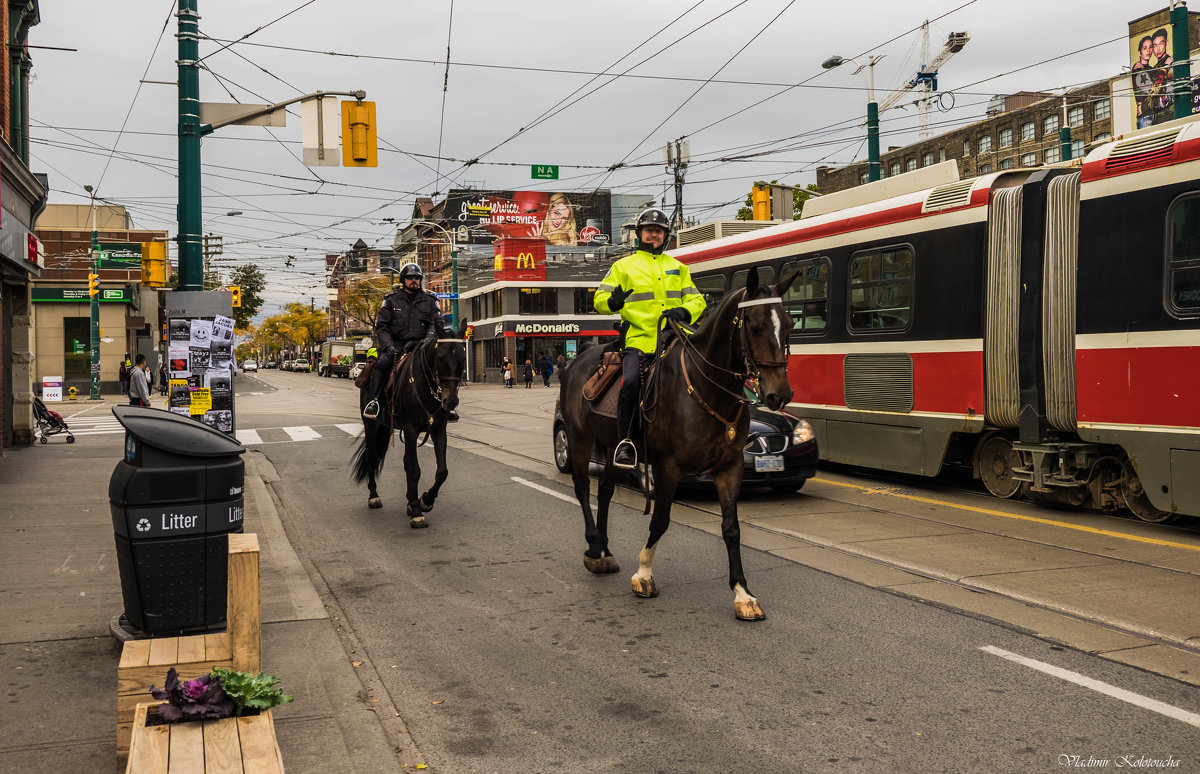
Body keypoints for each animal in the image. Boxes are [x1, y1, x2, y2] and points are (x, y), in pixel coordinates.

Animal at [350, 324, 465, 528]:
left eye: (462, 357)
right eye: (441, 357)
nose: (451, 401)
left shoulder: (438, 430)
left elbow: (442, 471)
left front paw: (425, 500)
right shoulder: (411, 429)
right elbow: (414, 470)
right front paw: (418, 512)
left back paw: (410, 501)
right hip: (372, 425)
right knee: (372, 457)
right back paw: (374, 496)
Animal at [559, 268, 796, 619]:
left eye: (789, 324)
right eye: (755, 326)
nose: (780, 394)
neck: (705, 388)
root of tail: (580, 358)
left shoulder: (730, 467)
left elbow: (732, 528)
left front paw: (742, 594)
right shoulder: (667, 467)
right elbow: (660, 520)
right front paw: (644, 575)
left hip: (615, 446)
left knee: (604, 491)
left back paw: (604, 550)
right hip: (579, 437)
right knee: (582, 487)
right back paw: (593, 548)